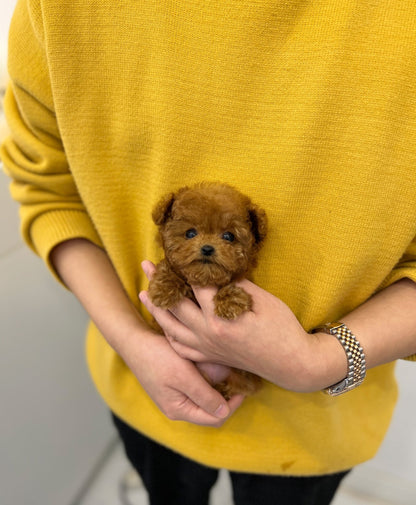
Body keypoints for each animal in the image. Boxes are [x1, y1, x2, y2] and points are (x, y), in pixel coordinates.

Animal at [148, 181, 268, 398]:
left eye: (228, 236)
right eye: (190, 233)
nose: (207, 248)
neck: (204, 279)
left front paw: (230, 301)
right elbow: (167, 268)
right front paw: (164, 288)